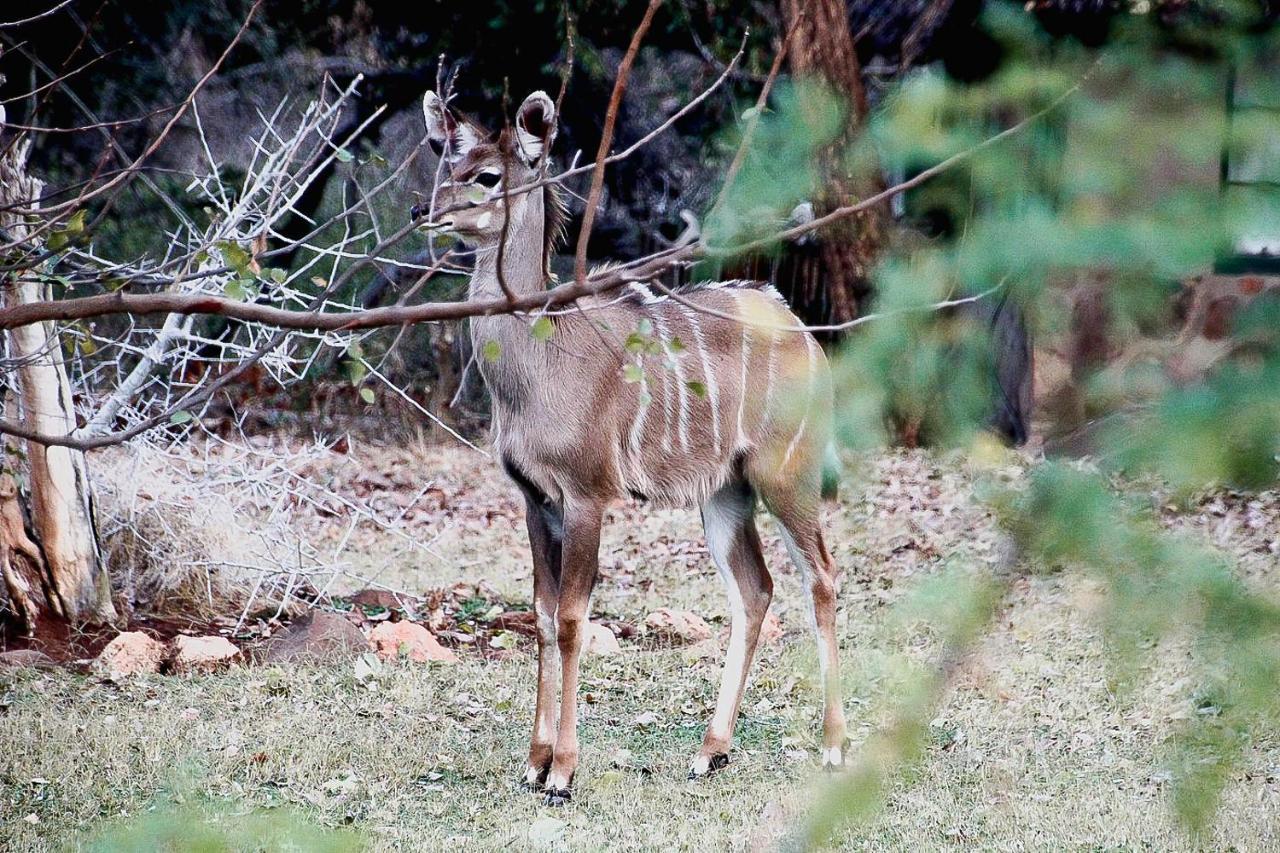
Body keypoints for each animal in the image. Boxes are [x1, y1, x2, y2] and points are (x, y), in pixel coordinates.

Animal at [414, 89, 844, 799]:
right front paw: (532, 762)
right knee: (754, 591)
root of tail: (802, 331)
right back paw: (709, 751)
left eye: (488, 175)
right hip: (725, 493)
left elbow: (571, 620)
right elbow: (539, 613)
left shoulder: (589, 492)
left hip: (787, 475)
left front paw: (562, 771)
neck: (541, 357)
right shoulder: (535, 499)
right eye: (446, 164)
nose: (427, 212)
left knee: (821, 578)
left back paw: (833, 744)